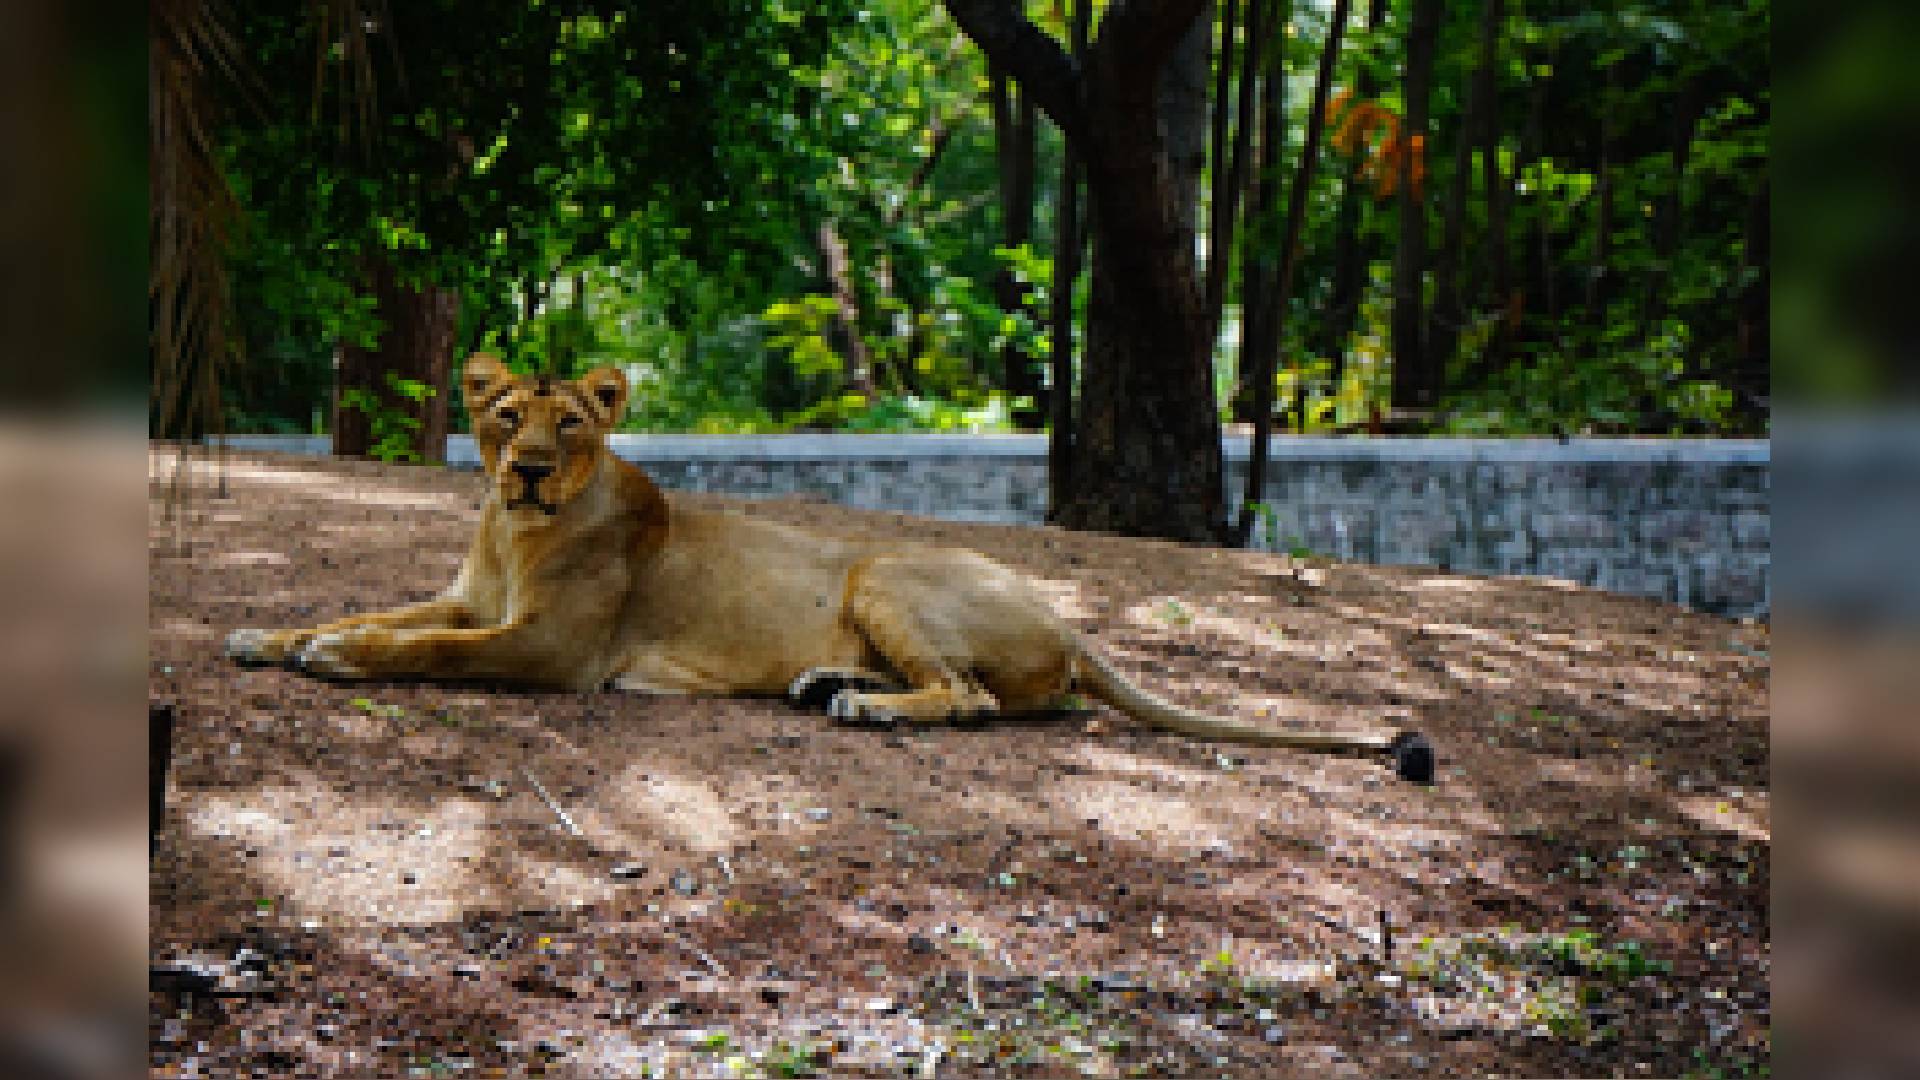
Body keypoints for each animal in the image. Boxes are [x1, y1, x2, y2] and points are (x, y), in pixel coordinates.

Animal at [226, 353, 1434, 783]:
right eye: (503, 415)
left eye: (569, 424)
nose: (522, 468)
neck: (515, 533)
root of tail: (1071, 624)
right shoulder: (467, 596)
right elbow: (378, 606)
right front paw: (272, 633)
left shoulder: (553, 648)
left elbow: (423, 646)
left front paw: (338, 655)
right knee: (983, 692)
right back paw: (828, 684)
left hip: (882, 571)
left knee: (972, 699)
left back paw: (863, 705)